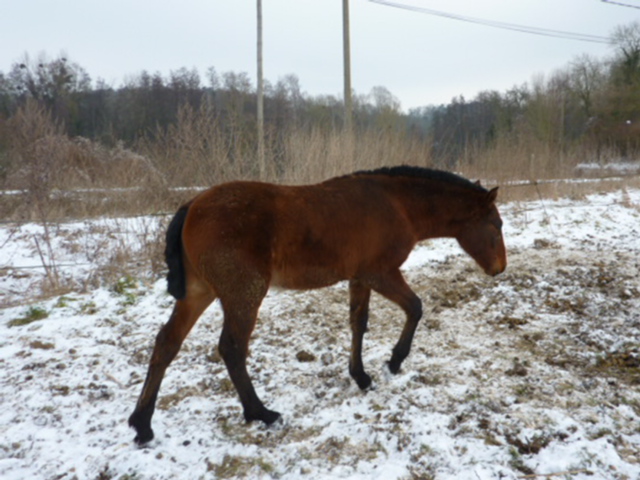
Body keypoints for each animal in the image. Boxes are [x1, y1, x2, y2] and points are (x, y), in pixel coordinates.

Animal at [127, 165, 508, 442]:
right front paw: (395, 361)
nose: (499, 268)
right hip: (243, 294)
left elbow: (359, 323)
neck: (397, 204)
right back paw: (260, 413)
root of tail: (192, 205)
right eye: (496, 224)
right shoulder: (380, 273)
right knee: (231, 348)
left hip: (198, 293)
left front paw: (361, 376)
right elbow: (415, 307)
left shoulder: (360, 278)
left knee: (167, 343)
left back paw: (142, 424)